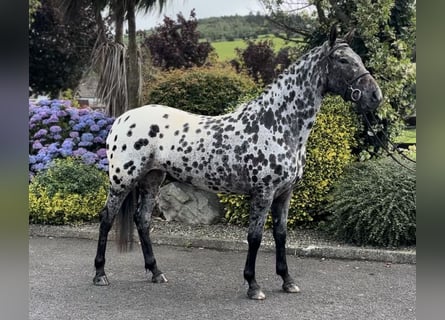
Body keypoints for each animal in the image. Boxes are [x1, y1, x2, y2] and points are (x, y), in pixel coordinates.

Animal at [93, 25, 382, 300]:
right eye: (343, 60)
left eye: (358, 58)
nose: (375, 96)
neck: (275, 124)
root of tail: (122, 119)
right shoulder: (263, 193)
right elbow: (255, 237)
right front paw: (253, 286)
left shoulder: (284, 193)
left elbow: (280, 234)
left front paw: (287, 281)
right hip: (122, 180)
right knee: (107, 219)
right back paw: (100, 274)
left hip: (152, 178)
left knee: (142, 220)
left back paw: (156, 272)